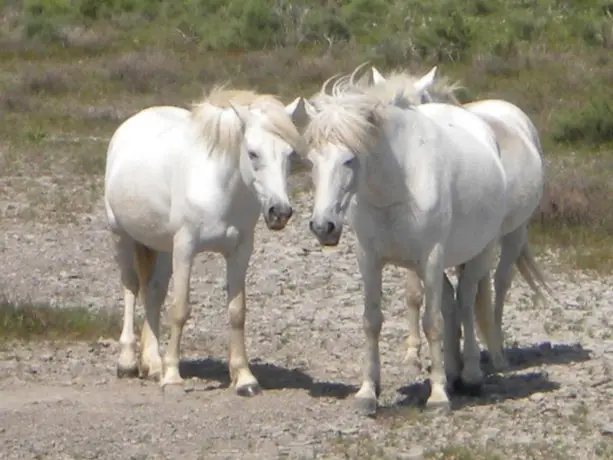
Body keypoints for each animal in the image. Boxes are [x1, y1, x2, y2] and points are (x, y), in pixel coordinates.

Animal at [105, 85, 308, 396]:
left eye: (290, 154)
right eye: (253, 153)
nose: (279, 212)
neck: (218, 186)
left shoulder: (240, 251)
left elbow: (237, 312)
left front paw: (244, 378)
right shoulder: (185, 248)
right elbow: (180, 309)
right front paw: (173, 377)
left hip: (162, 247)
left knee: (152, 292)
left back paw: (152, 364)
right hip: (122, 236)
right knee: (130, 287)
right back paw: (127, 362)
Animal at [290, 73, 506, 416]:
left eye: (349, 159)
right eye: (311, 161)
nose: (323, 227)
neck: (397, 187)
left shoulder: (430, 258)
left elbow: (432, 323)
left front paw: (438, 396)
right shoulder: (369, 258)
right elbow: (372, 321)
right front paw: (368, 392)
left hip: (479, 254)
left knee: (466, 301)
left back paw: (470, 375)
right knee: (451, 302)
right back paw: (453, 372)